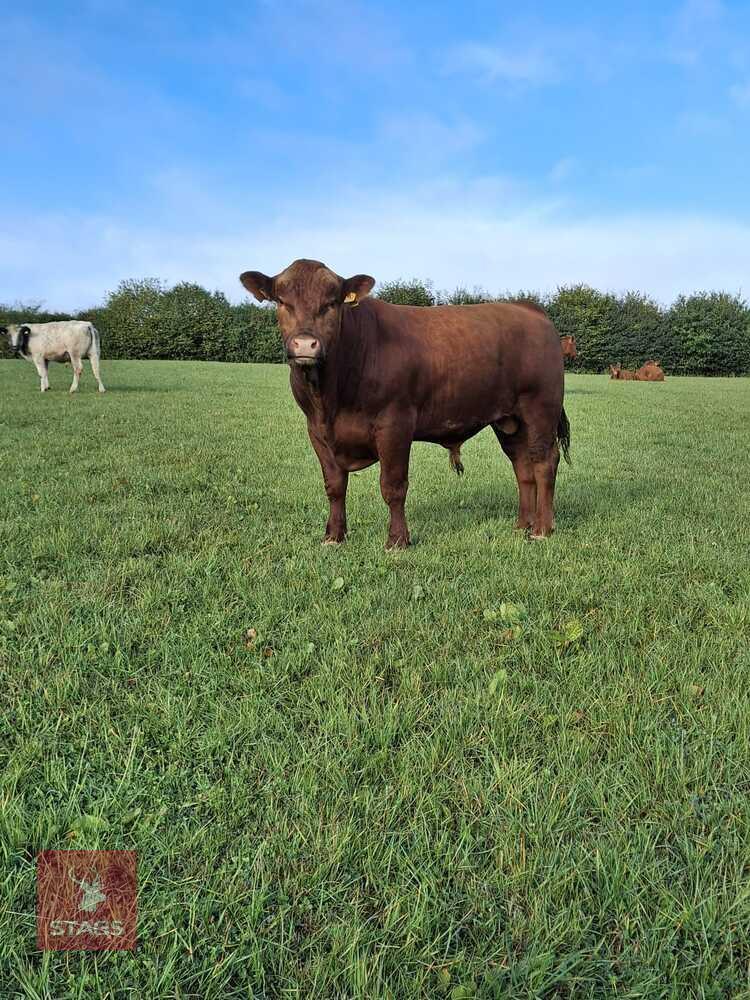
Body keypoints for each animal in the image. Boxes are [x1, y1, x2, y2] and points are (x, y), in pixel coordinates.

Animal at [239, 259, 570, 546]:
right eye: (282, 302)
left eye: (332, 302)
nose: (305, 344)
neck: (330, 397)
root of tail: (527, 308)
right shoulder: (317, 431)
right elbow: (334, 486)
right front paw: (334, 536)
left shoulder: (394, 424)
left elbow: (393, 486)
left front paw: (397, 540)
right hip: (508, 420)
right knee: (522, 466)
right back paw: (522, 525)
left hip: (540, 408)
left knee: (544, 462)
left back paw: (542, 529)